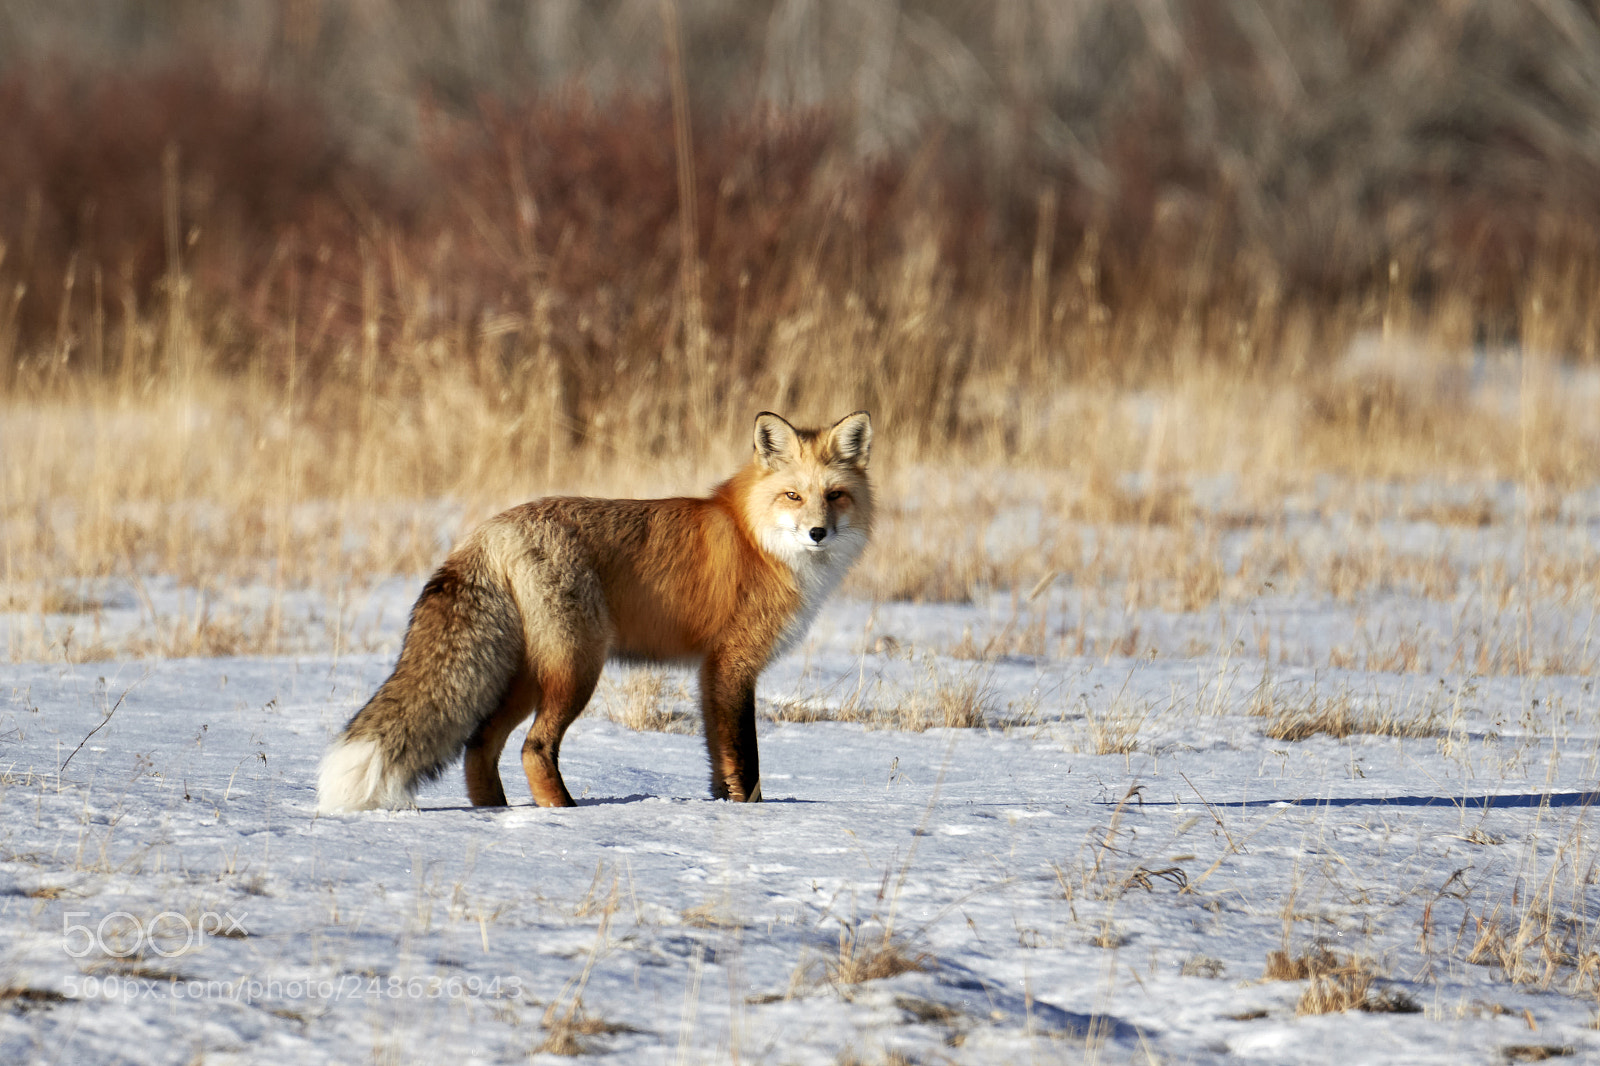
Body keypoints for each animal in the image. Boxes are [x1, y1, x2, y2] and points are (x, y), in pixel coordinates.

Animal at [316, 410, 873, 814]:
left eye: (835, 496)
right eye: (793, 495)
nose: (818, 532)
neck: (756, 539)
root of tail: (491, 531)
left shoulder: (709, 672)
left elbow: (720, 758)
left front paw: (721, 807)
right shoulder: (734, 664)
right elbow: (746, 757)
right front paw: (751, 814)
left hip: (525, 676)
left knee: (480, 745)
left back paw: (494, 814)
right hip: (576, 669)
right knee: (533, 747)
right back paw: (565, 813)